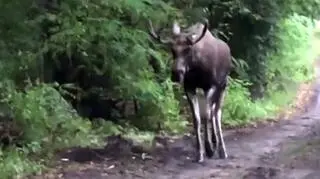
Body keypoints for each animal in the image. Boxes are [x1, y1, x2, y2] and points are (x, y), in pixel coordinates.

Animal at [148, 19, 232, 162]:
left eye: (188, 49)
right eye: (172, 49)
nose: (176, 73)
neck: (196, 68)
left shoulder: (211, 86)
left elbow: (206, 116)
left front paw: (209, 149)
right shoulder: (189, 87)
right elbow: (196, 118)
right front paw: (200, 152)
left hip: (223, 86)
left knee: (216, 113)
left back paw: (222, 149)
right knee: (213, 111)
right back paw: (215, 142)